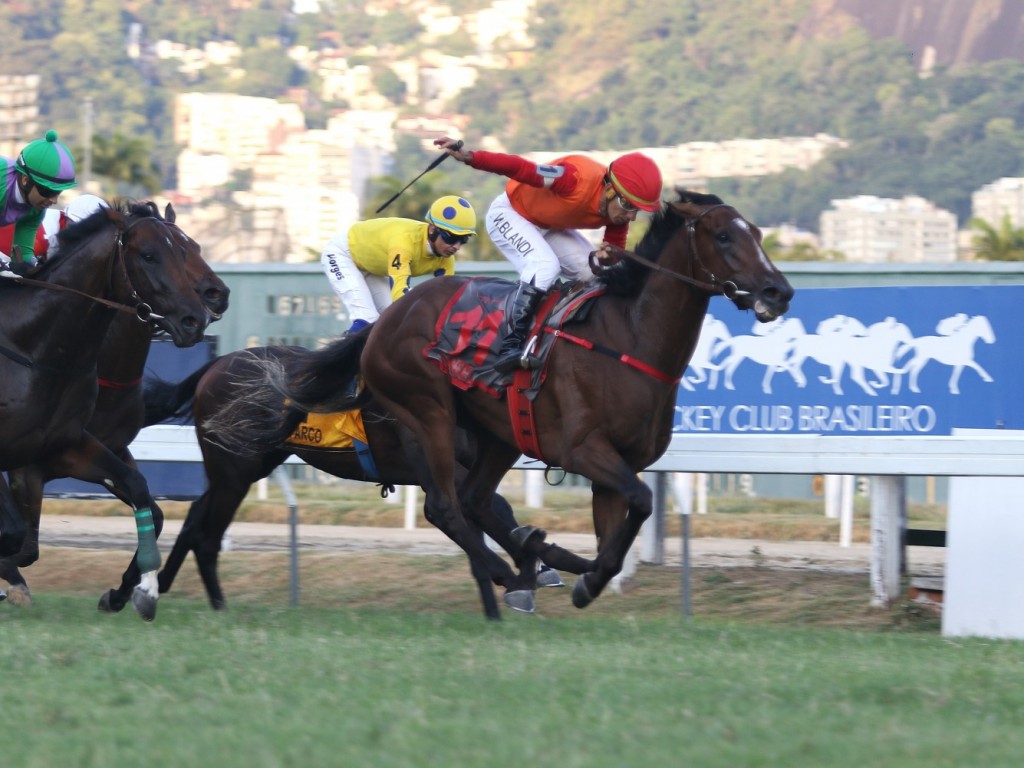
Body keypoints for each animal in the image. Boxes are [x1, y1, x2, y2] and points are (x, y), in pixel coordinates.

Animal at [0, 204, 228, 614]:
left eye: (190, 247)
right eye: (150, 255)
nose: (200, 313)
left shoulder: (78, 447)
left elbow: (145, 499)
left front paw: (133, 591)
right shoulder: (26, 466)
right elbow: (19, 539)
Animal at [141, 348, 561, 618]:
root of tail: (216, 363)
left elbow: (493, 509)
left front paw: (531, 570)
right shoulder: (434, 464)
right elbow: (474, 512)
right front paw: (518, 577)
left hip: (249, 464)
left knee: (196, 516)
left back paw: (158, 586)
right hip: (234, 469)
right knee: (208, 536)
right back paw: (215, 607)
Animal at [207, 195, 790, 618]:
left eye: (759, 235)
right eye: (723, 236)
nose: (778, 292)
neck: (626, 338)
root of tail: (385, 323)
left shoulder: (614, 466)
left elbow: (619, 527)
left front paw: (584, 575)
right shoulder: (584, 451)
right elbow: (642, 501)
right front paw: (569, 574)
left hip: (497, 435)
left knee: (474, 499)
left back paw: (530, 564)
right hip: (429, 413)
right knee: (446, 505)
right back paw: (511, 574)